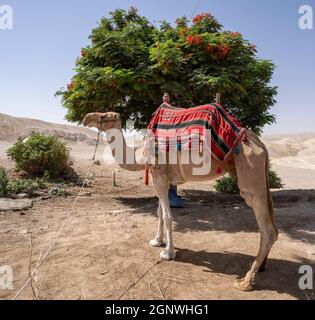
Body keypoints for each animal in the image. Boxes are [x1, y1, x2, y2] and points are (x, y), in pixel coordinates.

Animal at [83, 109, 278, 292]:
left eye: (105, 116)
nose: (86, 118)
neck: (140, 152)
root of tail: (261, 145)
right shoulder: (162, 179)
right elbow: (159, 212)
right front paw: (156, 241)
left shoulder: (159, 176)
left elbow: (168, 216)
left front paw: (168, 253)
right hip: (245, 170)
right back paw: (261, 266)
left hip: (249, 169)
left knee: (268, 229)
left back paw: (245, 281)